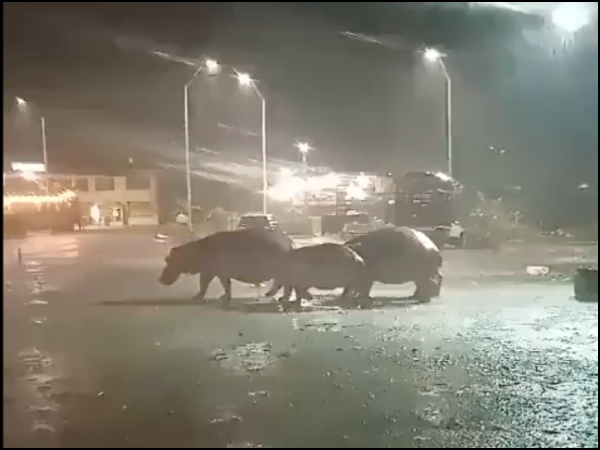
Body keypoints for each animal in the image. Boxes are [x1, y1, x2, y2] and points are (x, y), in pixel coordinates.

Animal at [158, 229, 310, 306]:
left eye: (168, 259)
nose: (159, 279)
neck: (194, 251)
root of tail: (291, 242)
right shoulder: (213, 271)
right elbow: (220, 284)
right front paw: (222, 297)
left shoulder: (212, 271)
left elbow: (207, 284)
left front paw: (197, 297)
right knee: (282, 284)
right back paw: (272, 295)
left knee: (286, 285)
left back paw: (283, 299)